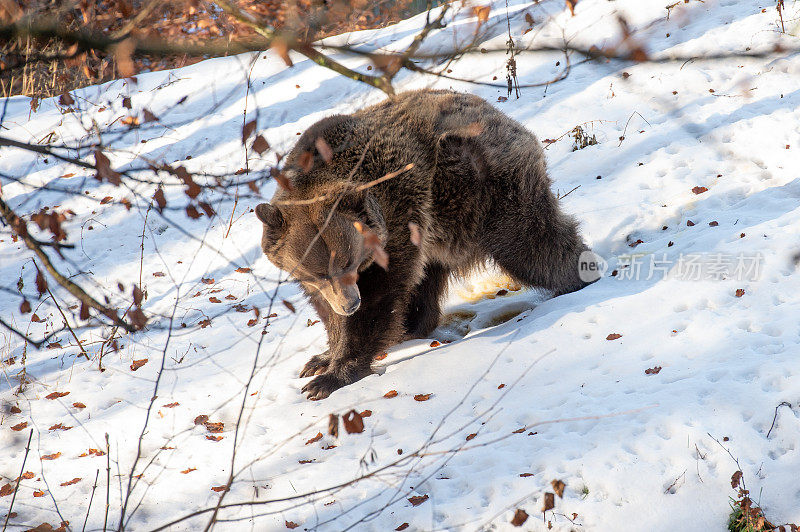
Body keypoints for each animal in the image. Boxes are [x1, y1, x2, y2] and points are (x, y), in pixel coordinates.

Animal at [253, 89, 596, 400]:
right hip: (442, 223)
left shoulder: (395, 226)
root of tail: (496, 111)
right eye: (318, 272)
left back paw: (581, 275)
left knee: (530, 243)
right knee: (428, 280)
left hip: (480, 186)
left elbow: (378, 300)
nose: (350, 304)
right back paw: (411, 326)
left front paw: (330, 378)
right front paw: (321, 358)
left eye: (348, 262)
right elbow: (327, 310)